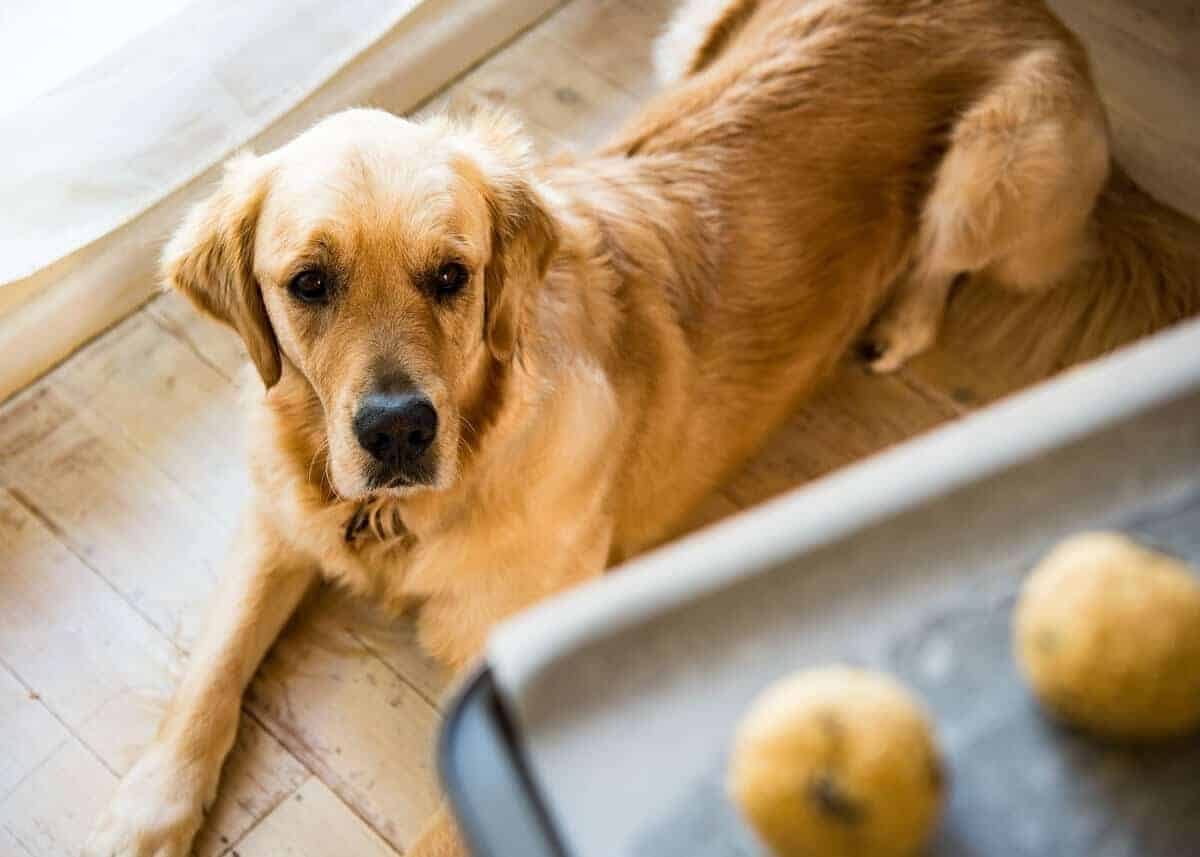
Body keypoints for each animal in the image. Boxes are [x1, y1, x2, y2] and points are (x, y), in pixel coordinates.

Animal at [87, 0, 1200, 849]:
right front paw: (145, 811)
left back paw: (896, 320)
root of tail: (1039, 12)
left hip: (993, 165)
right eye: (308, 283)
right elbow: (212, 665)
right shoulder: (278, 517)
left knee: (941, 259)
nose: (398, 431)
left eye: (451, 277)